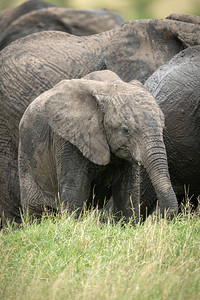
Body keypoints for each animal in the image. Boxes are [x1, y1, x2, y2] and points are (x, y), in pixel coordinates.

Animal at [18, 69, 178, 220]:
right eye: (126, 130)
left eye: (162, 128)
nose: (159, 215)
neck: (109, 87)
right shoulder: (68, 139)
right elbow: (74, 191)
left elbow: (128, 192)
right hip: (26, 162)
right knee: (35, 213)